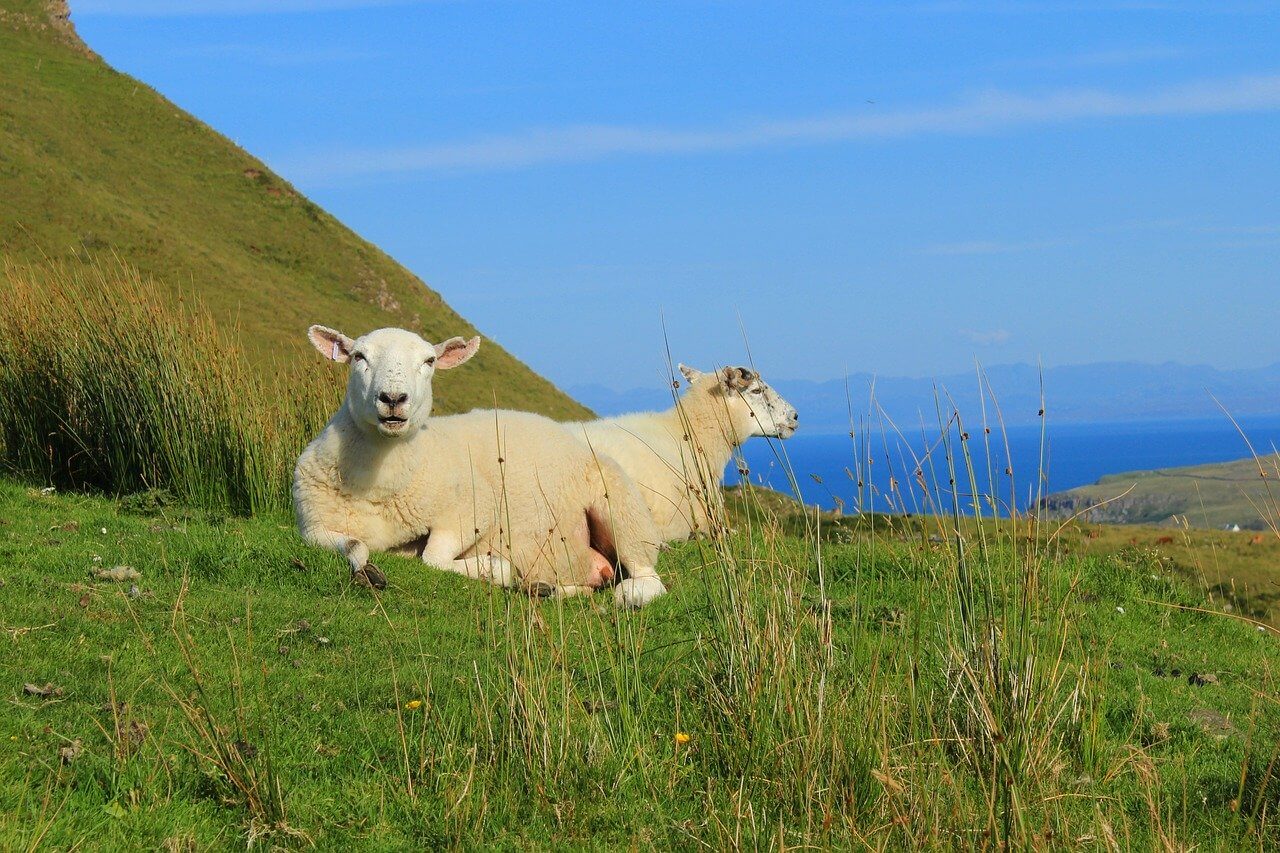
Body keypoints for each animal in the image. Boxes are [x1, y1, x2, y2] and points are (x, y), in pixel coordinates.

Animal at [293, 325, 667, 608]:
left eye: (429, 361)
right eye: (359, 357)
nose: (393, 399)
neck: (380, 486)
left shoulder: (473, 508)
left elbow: (434, 558)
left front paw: (495, 568)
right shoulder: (313, 527)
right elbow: (356, 546)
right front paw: (367, 570)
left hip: (622, 509)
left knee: (648, 575)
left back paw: (630, 595)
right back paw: (545, 588)